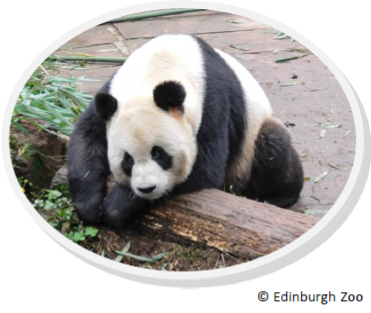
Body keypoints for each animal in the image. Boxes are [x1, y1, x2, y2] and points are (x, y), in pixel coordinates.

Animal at [67, 34, 306, 227]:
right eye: (128, 160)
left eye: (158, 153)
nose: (146, 189)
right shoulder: (110, 95)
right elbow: (85, 137)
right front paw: (88, 206)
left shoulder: (215, 100)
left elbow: (206, 168)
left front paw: (116, 207)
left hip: (249, 148)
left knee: (273, 143)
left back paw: (278, 197)